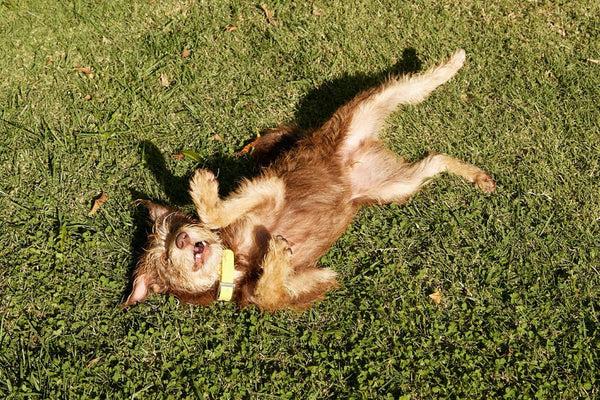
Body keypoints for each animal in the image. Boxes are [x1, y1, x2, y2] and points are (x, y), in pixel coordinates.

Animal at [124, 50, 494, 310]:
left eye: (173, 227)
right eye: (164, 259)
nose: (182, 240)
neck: (236, 261)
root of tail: (355, 158)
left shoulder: (270, 190)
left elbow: (217, 212)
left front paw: (202, 189)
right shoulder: (316, 281)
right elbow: (268, 295)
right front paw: (276, 257)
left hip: (359, 114)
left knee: (409, 85)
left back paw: (451, 64)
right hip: (396, 185)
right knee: (434, 159)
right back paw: (476, 176)